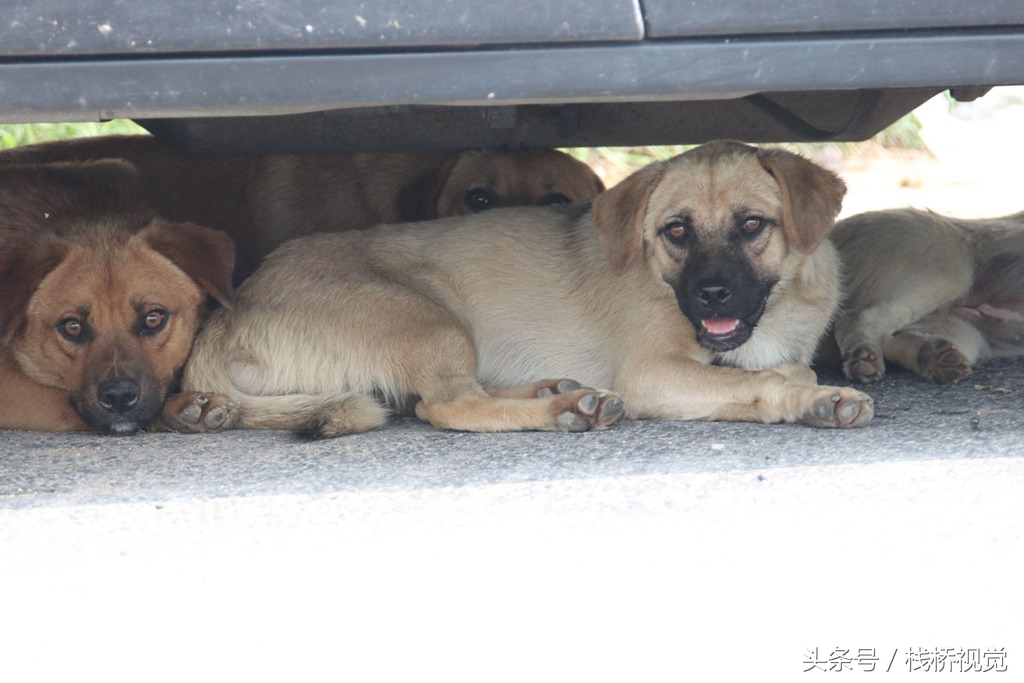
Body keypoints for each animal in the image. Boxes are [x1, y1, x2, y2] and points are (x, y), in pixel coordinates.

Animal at [163, 141, 876, 436]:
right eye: (675, 231)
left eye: (753, 225)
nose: (711, 296)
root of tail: (231, 311)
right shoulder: (652, 373)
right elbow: (768, 382)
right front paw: (817, 399)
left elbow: (780, 369)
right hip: (429, 316)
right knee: (447, 407)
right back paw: (562, 410)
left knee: (455, 396)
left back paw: (557, 390)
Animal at [827, 206, 1024, 385]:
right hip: (948, 272)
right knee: (856, 318)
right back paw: (864, 355)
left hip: (962, 329)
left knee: (889, 338)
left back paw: (932, 356)